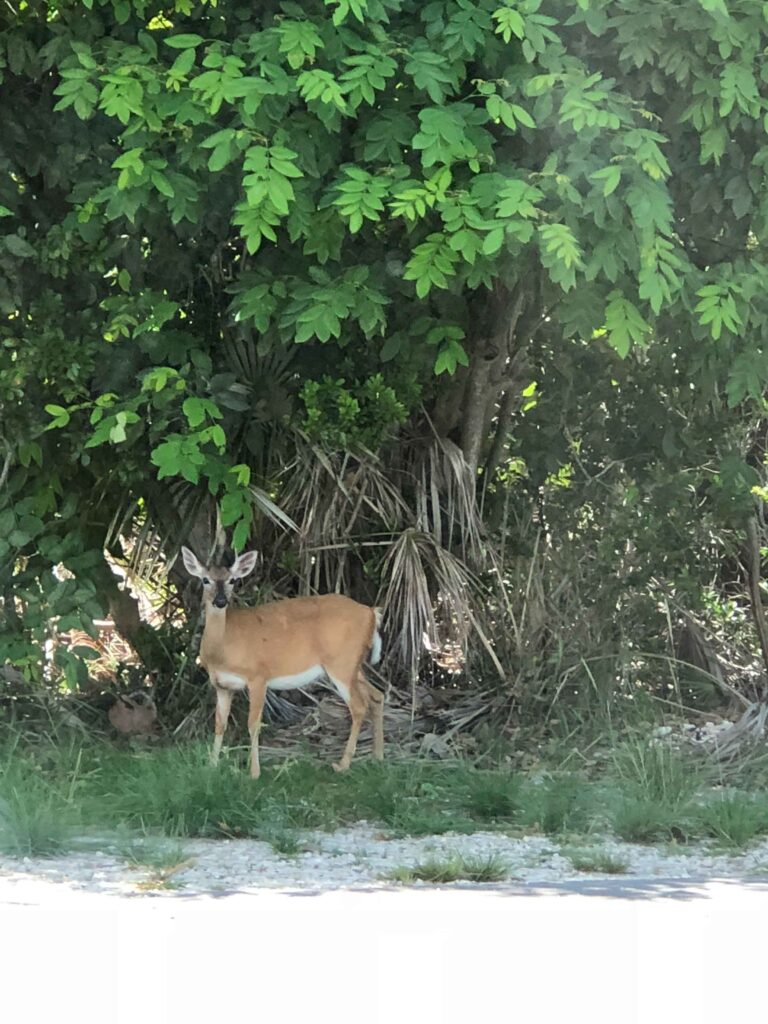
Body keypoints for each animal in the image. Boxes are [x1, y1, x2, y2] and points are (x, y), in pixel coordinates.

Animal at [180, 546, 385, 779]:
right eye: (205, 580)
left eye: (232, 580)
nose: (221, 601)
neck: (223, 650)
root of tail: (371, 612)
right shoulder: (222, 685)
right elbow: (219, 724)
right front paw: (212, 766)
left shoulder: (258, 676)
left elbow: (253, 724)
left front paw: (254, 773)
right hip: (352, 665)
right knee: (377, 695)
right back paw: (378, 756)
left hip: (341, 662)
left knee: (359, 706)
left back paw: (343, 764)